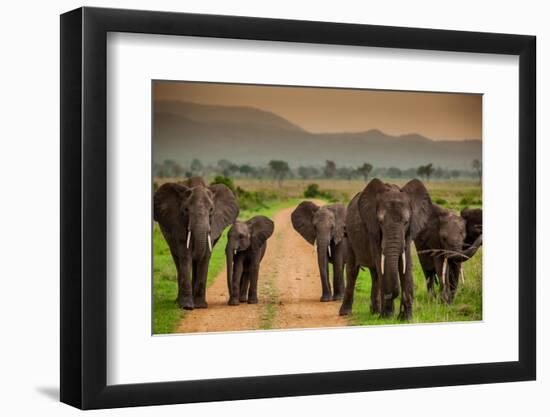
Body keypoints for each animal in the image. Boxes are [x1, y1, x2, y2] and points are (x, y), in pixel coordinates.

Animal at [156, 176, 240, 308]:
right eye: (186, 210)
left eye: (211, 210)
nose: (231, 302)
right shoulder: (177, 223)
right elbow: (185, 255)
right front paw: (186, 306)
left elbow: (205, 256)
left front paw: (200, 306)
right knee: (177, 260)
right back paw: (178, 302)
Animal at [340, 176, 436, 318]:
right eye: (380, 222)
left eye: (406, 222)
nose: (391, 294)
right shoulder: (373, 231)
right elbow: (383, 265)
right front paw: (388, 316)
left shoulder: (408, 233)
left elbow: (406, 265)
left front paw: (406, 318)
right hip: (350, 237)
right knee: (353, 271)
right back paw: (346, 313)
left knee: (375, 274)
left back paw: (375, 312)